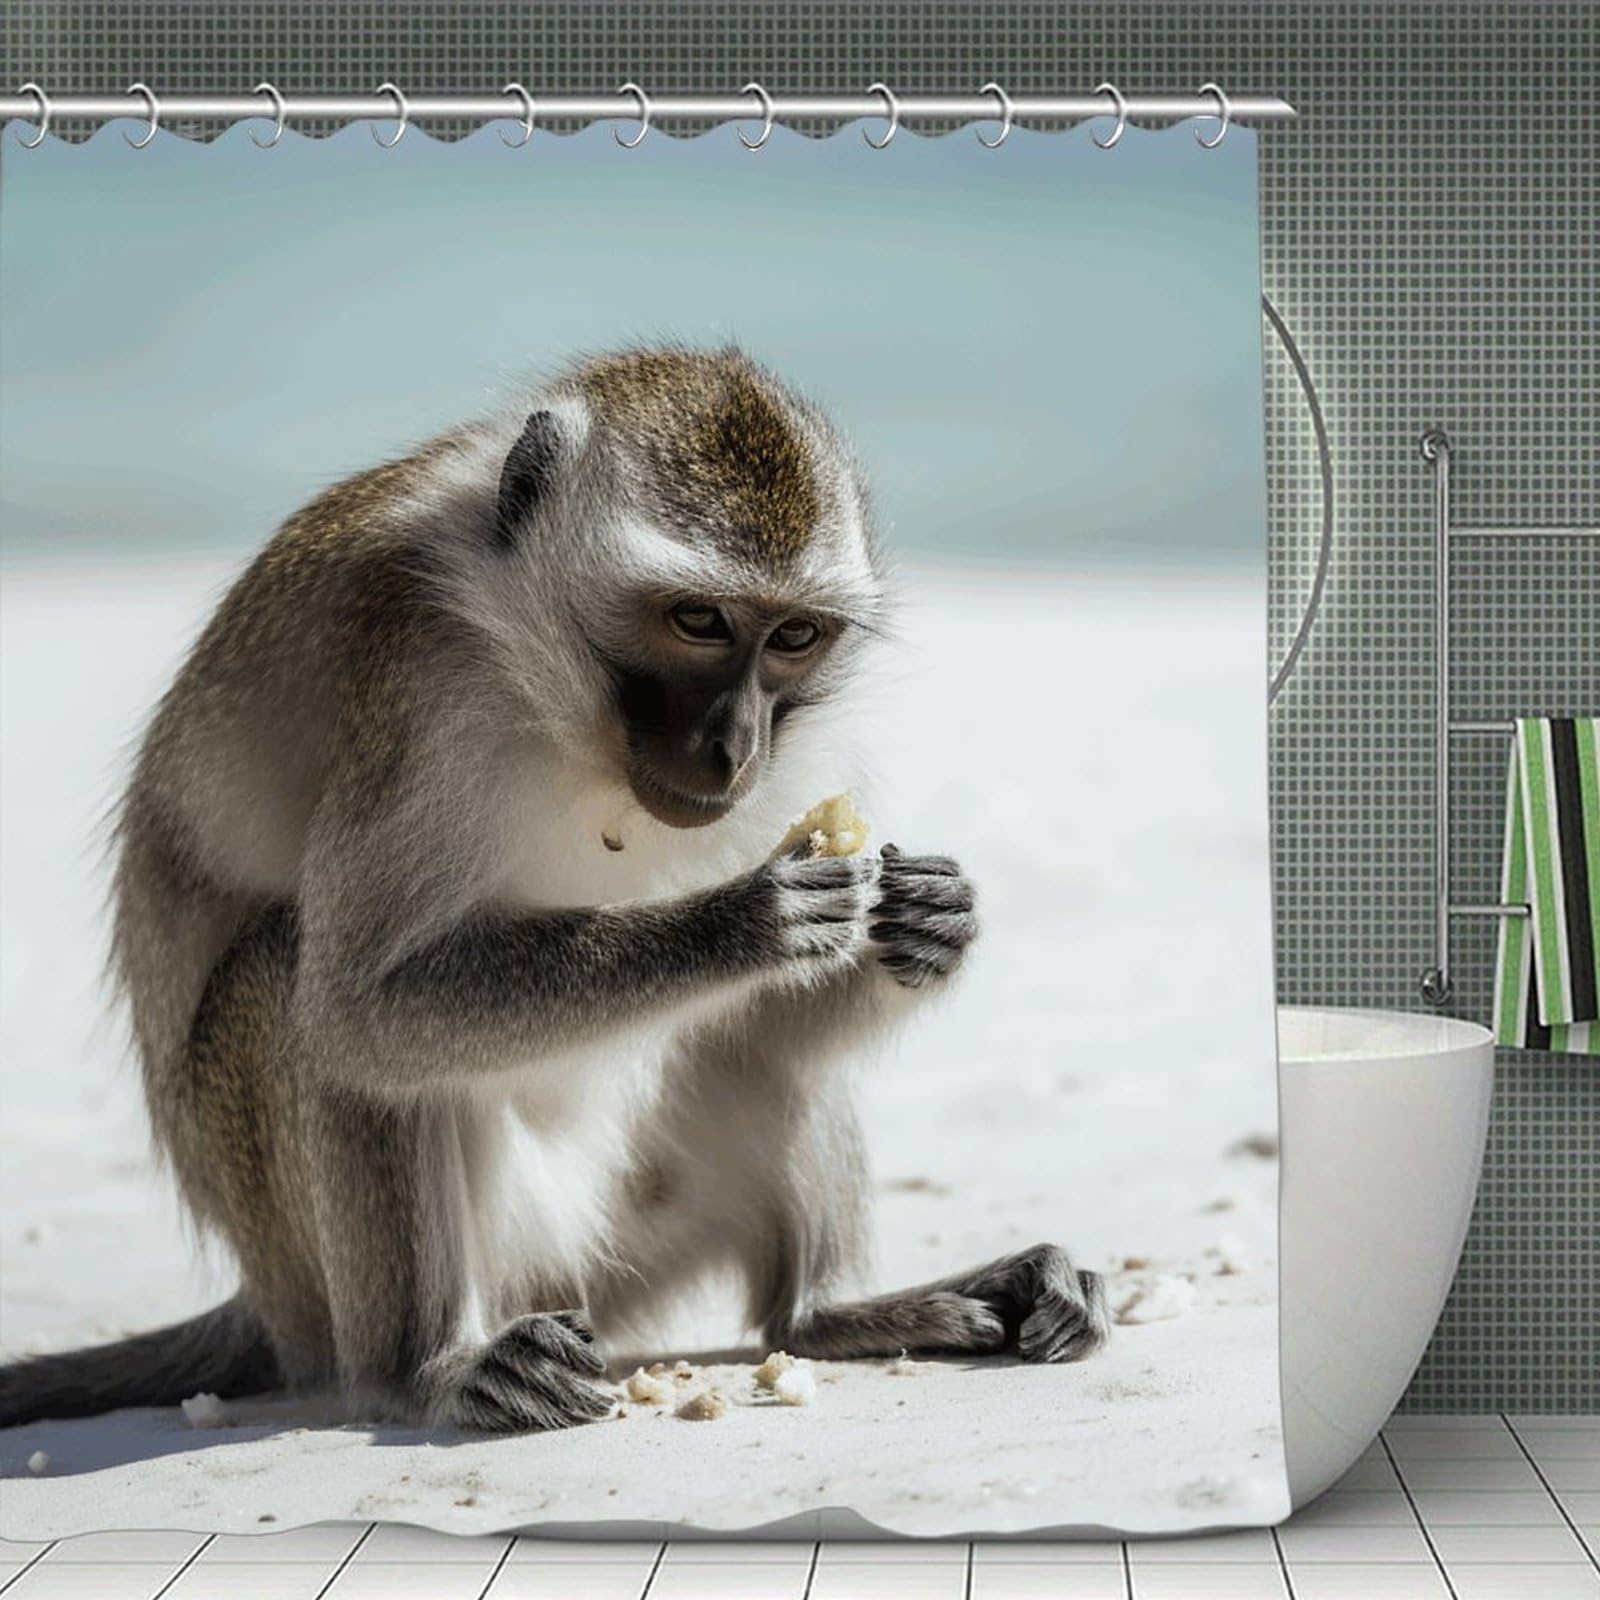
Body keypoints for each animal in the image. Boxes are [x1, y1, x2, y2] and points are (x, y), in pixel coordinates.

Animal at [0, 344, 1109, 1433]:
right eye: (698, 620)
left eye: (793, 637)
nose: (736, 745)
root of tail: (265, 1298)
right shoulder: (420, 698)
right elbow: (356, 1011)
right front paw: (738, 924)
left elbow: (785, 1009)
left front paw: (936, 921)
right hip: (343, 1264)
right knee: (298, 995)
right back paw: (428, 1368)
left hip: (635, 1237)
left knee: (758, 1063)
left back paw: (831, 1311)